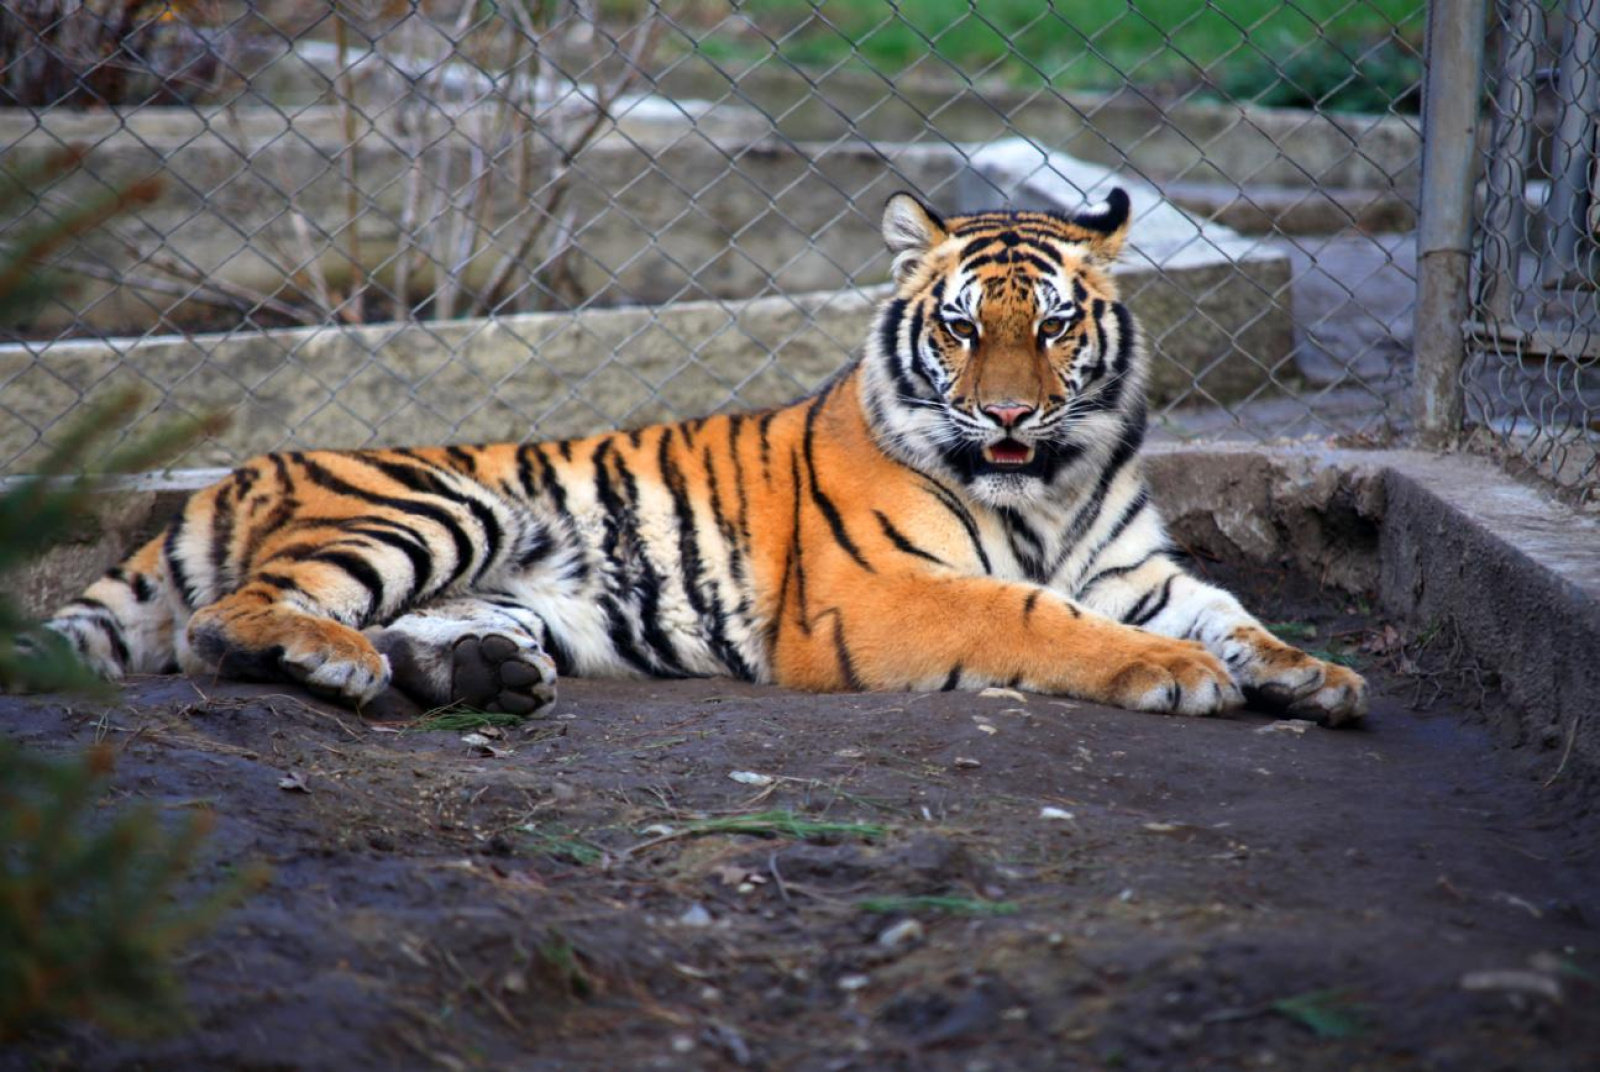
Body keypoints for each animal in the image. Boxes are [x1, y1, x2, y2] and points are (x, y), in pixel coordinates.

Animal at [38, 190, 1367, 725]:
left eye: (1049, 327)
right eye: (957, 326)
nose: (1002, 418)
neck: (1046, 485)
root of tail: (228, 476)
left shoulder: (1137, 572)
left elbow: (1233, 612)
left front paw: (1313, 675)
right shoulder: (877, 592)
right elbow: (1035, 616)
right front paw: (1173, 674)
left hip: (513, 585)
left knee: (426, 631)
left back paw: (476, 675)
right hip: (436, 505)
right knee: (228, 624)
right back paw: (336, 659)